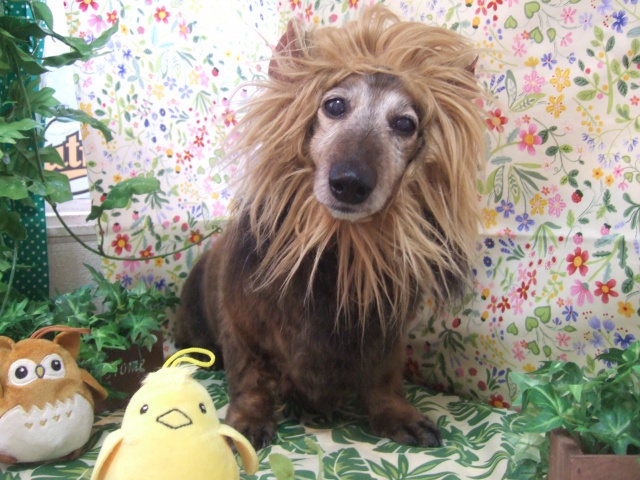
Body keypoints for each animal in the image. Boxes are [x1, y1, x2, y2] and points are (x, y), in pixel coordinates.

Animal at [175, 5, 485, 450]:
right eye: (335, 105)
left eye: (405, 125)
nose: (350, 183)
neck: (339, 249)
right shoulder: (243, 330)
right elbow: (250, 378)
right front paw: (248, 419)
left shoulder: (387, 339)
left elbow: (386, 380)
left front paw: (398, 414)